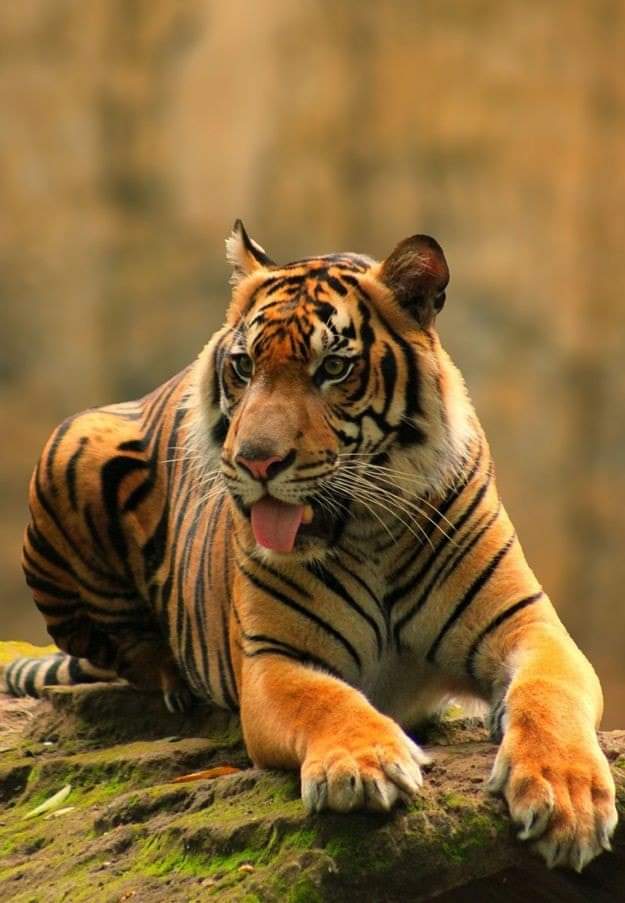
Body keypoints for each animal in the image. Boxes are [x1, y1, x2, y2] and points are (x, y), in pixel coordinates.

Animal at [3, 221, 617, 871]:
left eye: (335, 367)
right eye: (244, 365)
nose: (256, 461)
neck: (370, 533)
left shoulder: (528, 626)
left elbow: (548, 697)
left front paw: (567, 797)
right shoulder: (273, 660)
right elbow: (326, 701)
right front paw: (364, 764)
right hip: (74, 440)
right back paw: (174, 683)